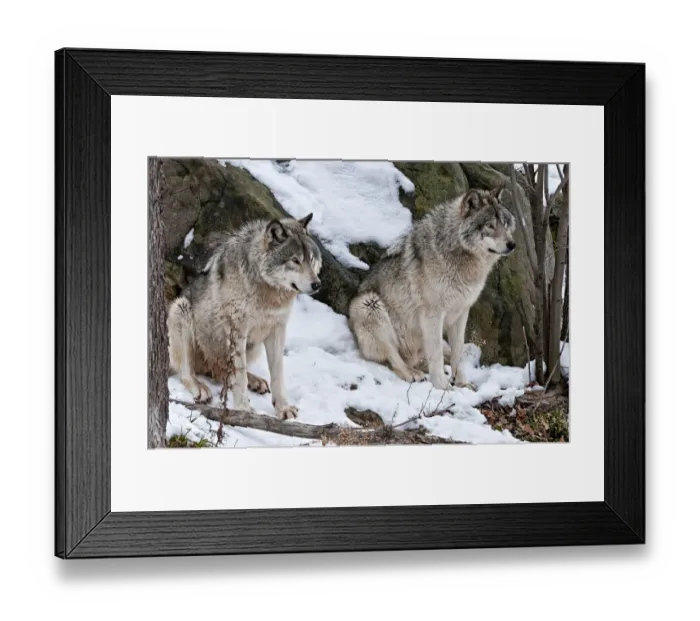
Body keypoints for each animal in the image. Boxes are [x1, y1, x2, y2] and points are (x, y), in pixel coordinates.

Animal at [167, 214, 322, 420]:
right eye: (295, 260)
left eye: (311, 259)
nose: (317, 284)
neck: (269, 293)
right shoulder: (237, 330)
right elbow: (240, 376)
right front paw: (243, 409)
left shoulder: (277, 330)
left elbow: (278, 374)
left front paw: (283, 408)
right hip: (180, 309)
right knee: (187, 373)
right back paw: (201, 388)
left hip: (252, 346)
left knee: (221, 373)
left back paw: (255, 381)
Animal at [348, 185, 516, 391]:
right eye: (490, 226)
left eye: (505, 224)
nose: (512, 244)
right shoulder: (433, 315)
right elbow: (435, 355)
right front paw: (442, 386)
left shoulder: (461, 313)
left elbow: (458, 353)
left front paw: (462, 383)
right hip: (369, 305)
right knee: (394, 359)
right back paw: (412, 373)